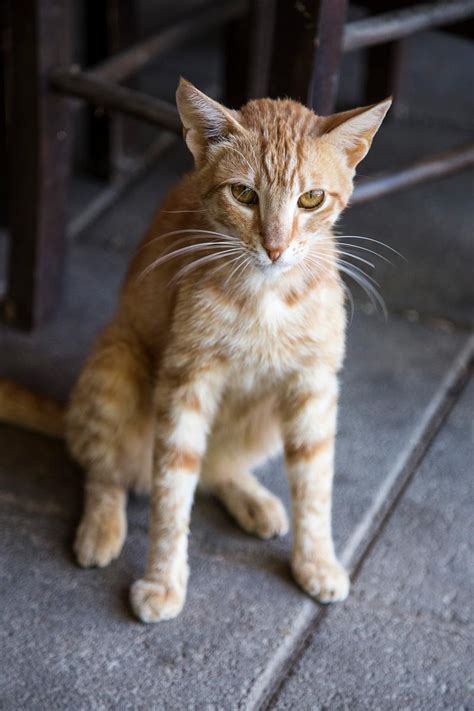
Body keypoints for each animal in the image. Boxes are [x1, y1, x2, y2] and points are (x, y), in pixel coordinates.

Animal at [0, 80, 388, 620]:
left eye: (311, 199)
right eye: (244, 194)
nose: (275, 248)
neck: (266, 297)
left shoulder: (313, 386)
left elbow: (314, 485)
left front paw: (316, 562)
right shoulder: (186, 382)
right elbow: (172, 489)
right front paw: (163, 581)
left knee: (216, 467)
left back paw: (252, 498)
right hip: (115, 363)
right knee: (104, 470)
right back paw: (101, 528)